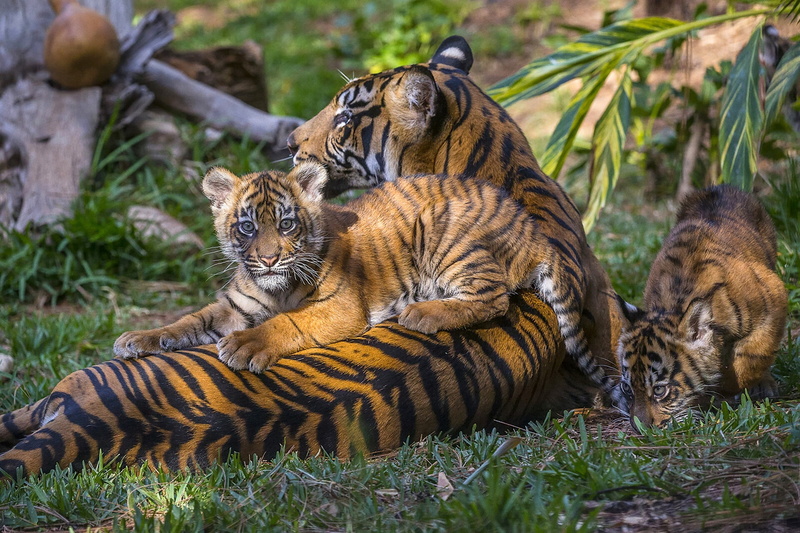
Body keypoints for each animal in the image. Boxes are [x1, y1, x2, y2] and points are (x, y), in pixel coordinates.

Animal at [116, 162, 564, 374]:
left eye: (286, 224)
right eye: (247, 227)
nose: (268, 259)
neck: (275, 289)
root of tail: (531, 227)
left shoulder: (340, 306)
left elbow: (288, 322)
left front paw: (245, 346)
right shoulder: (234, 307)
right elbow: (188, 322)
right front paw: (139, 338)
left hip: (446, 237)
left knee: (494, 297)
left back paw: (421, 312)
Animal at [616, 185, 788, 429]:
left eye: (659, 390)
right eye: (627, 388)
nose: (640, 428)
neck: (675, 303)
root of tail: (719, 187)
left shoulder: (774, 297)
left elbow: (753, 355)